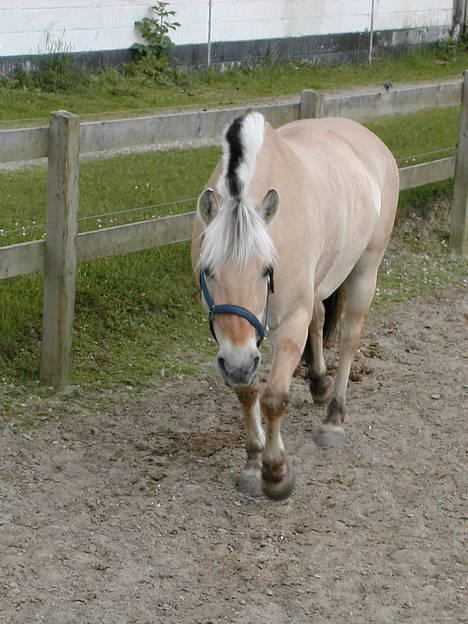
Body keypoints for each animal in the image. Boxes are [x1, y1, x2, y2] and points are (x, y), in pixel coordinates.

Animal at [190, 112, 398, 500]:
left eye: (266, 269)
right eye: (208, 270)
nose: (239, 364)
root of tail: (371, 141)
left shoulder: (289, 323)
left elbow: (274, 398)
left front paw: (275, 472)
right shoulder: (233, 342)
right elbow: (247, 391)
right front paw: (253, 463)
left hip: (366, 268)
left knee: (349, 337)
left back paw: (333, 418)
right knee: (319, 319)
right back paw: (318, 382)